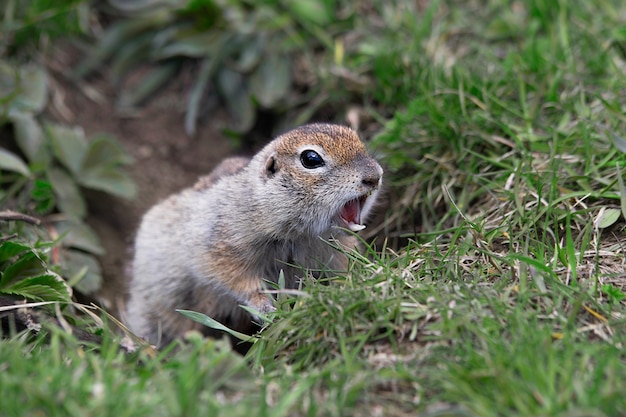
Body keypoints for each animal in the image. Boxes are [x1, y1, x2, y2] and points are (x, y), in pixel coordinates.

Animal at [125, 122, 380, 344]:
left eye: (356, 138)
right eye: (311, 158)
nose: (375, 176)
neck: (298, 235)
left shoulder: (338, 251)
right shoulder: (223, 243)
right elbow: (237, 279)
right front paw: (266, 307)